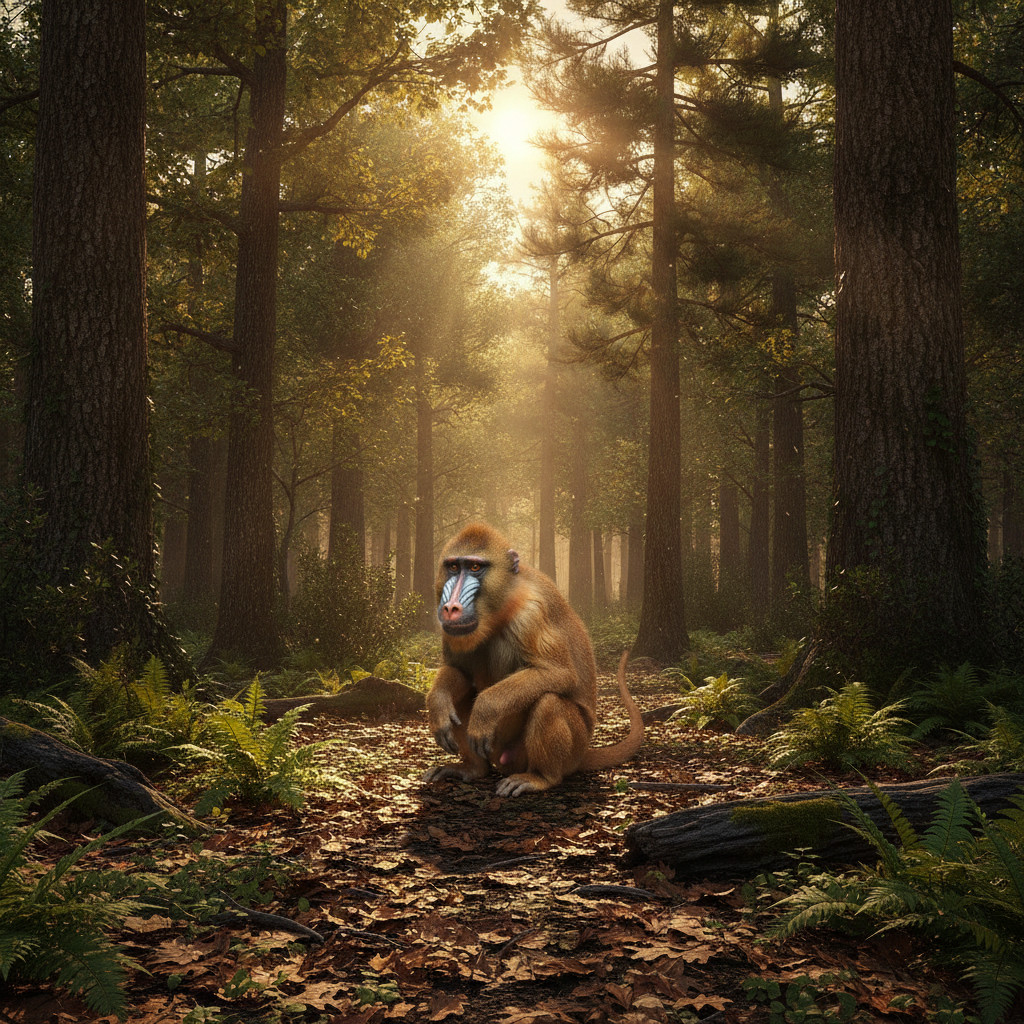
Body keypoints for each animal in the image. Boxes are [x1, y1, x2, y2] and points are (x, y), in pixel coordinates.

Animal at [422, 521, 644, 797]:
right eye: (453, 567)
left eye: (475, 567)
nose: (451, 608)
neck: (502, 606)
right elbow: (458, 670)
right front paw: (438, 702)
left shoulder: (531, 615)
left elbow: (559, 673)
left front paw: (485, 709)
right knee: (463, 694)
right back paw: (473, 769)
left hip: (558, 751)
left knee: (549, 702)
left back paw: (541, 777)